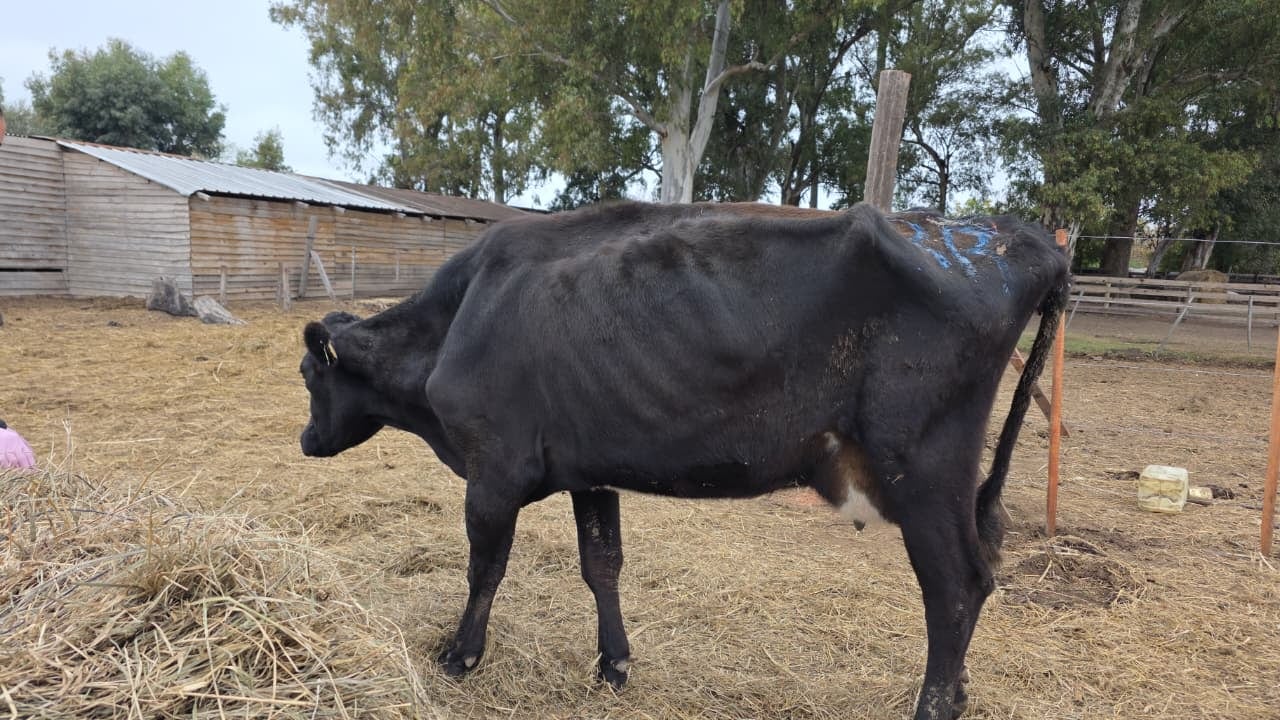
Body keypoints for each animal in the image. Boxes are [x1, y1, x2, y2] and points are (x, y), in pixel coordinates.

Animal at [297, 201, 1070, 720]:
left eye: (309, 375)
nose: (305, 441)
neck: (457, 321)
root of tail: (1013, 238)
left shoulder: (493, 471)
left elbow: (485, 569)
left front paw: (460, 657)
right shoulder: (589, 471)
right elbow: (601, 564)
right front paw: (613, 663)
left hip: (923, 467)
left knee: (958, 587)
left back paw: (934, 705)